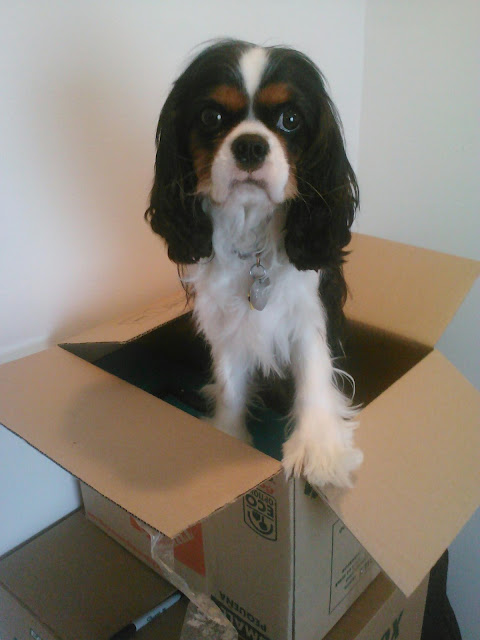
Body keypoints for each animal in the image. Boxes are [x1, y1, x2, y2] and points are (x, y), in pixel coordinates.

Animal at [145, 39, 363, 488]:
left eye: (291, 119)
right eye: (211, 116)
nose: (250, 145)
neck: (252, 240)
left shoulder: (310, 309)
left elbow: (314, 366)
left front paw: (318, 448)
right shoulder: (224, 317)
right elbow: (230, 380)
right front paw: (227, 435)